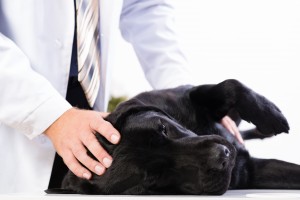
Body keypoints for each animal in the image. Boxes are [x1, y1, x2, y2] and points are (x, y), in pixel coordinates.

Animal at [47, 79, 300, 195]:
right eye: (154, 177)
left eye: (163, 128)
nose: (222, 156)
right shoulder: (250, 171)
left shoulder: (188, 94)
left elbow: (230, 86)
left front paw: (269, 115)